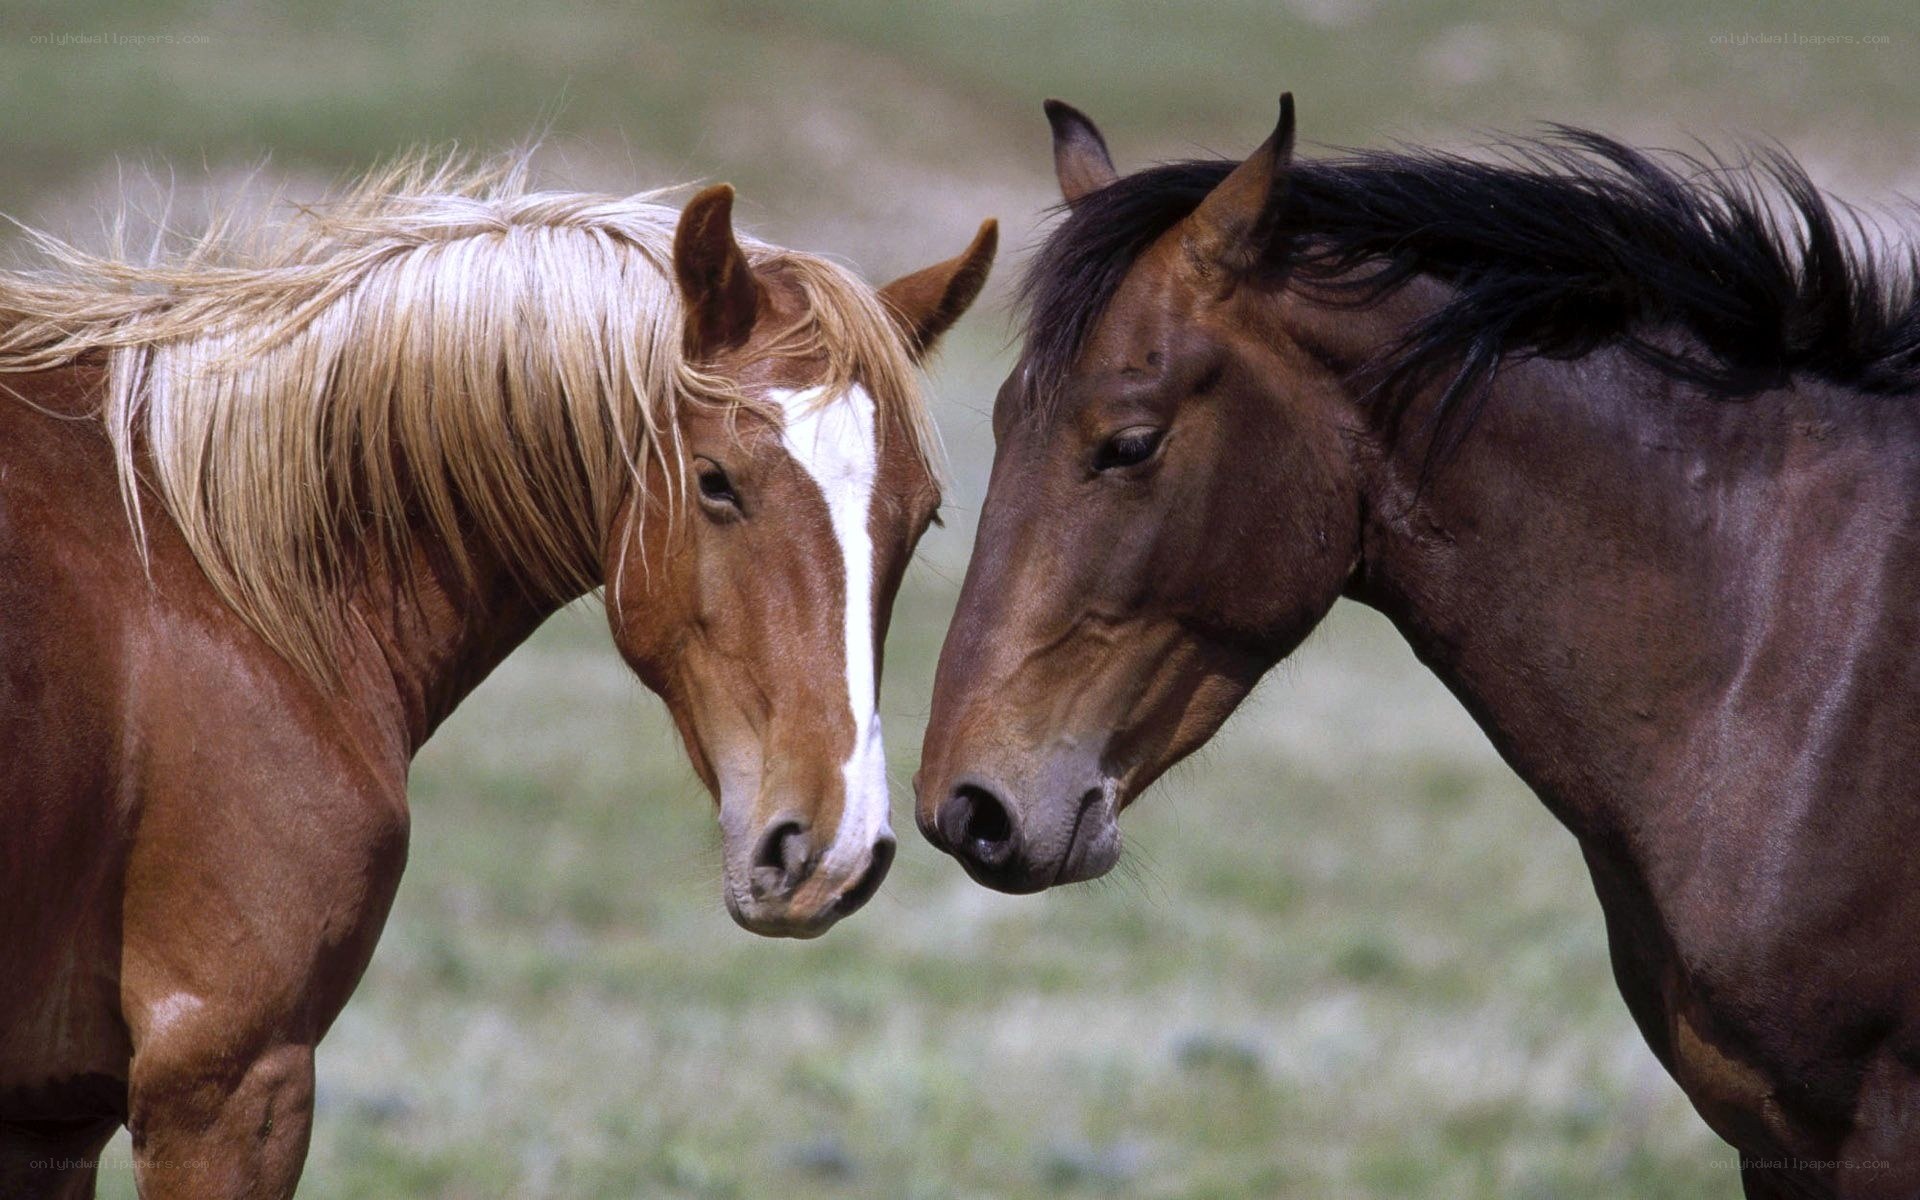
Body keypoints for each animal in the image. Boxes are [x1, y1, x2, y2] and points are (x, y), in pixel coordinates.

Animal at [0, 153, 995, 1198]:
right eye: (717, 480)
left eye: (923, 514)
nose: (833, 850)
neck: (214, 567)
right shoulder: (227, 1075)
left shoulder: (50, 1119)